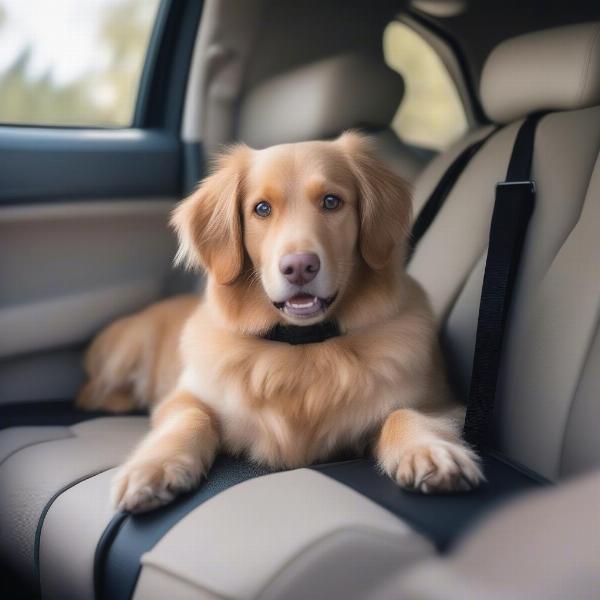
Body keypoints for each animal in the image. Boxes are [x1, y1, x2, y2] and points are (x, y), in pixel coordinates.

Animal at [77, 131, 486, 510]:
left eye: (331, 201)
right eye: (261, 208)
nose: (299, 267)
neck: (302, 344)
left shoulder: (444, 404)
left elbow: (405, 414)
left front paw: (430, 451)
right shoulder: (185, 396)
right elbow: (188, 418)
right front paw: (154, 467)